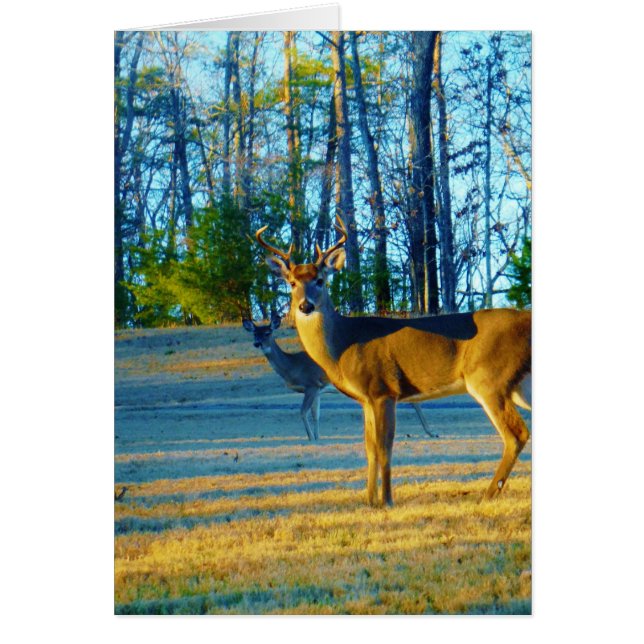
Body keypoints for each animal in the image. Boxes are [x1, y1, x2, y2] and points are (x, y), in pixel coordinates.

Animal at [243, 313, 436, 441]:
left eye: (268, 332)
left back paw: (431, 432)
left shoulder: (311, 384)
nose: (257, 343)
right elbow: (316, 414)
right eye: (254, 333)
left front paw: (311, 438)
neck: (292, 367)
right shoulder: (318, 390)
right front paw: (317, 437)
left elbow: (303, 411)